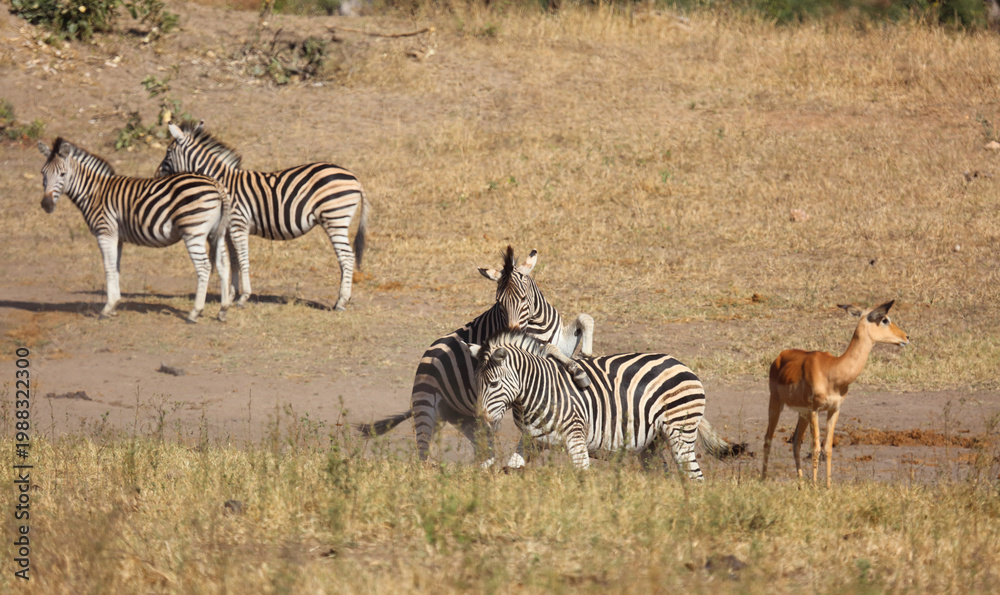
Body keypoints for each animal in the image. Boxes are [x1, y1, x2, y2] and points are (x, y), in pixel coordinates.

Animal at [37, 138, 232, 323]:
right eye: (43, 173)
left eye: (63, 174)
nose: (46, 204)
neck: (94, 193)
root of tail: (216, 184)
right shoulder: (117, 237)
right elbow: (116, 267)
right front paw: (115, 305)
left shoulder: (105, 233)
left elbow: (108, 267)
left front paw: (108, 308)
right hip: (217, 232)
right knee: (223, 264)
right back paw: (223, 310)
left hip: (193, 231)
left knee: (204, 266)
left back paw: (194, 313)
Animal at [157, 121, 370, 311]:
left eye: (167, 152)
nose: (156, 173)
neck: (223, 182)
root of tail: (355, 178)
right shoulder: (229, 230)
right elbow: (234, 260)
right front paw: (232, 296)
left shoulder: (238, 225)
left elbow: (243, 259)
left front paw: (243, 297)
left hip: (335, 219)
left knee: (347, 257)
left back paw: (341, 302)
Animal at [360, 246, 595, 466]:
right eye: (499, 303)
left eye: (522, 298)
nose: (512, 332)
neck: (536, 326)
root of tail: (427, 355)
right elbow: (550, 350)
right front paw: (580, 373)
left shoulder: (560, 342)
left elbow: (584, 319)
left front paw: (585, 354)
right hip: (425, 407)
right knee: (423, 453)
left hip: (466, 419)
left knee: (482, 453)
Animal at [468, 330, 748, 479]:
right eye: (478, 384)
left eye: (493, 383)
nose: (480, 421)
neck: (536, 392)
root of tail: (682, 365)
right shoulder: (531, 440)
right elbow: (511, 468)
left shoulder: (576, 437)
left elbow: (582, 477)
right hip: (651, 443)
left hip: (680, 432)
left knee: (694, 476)